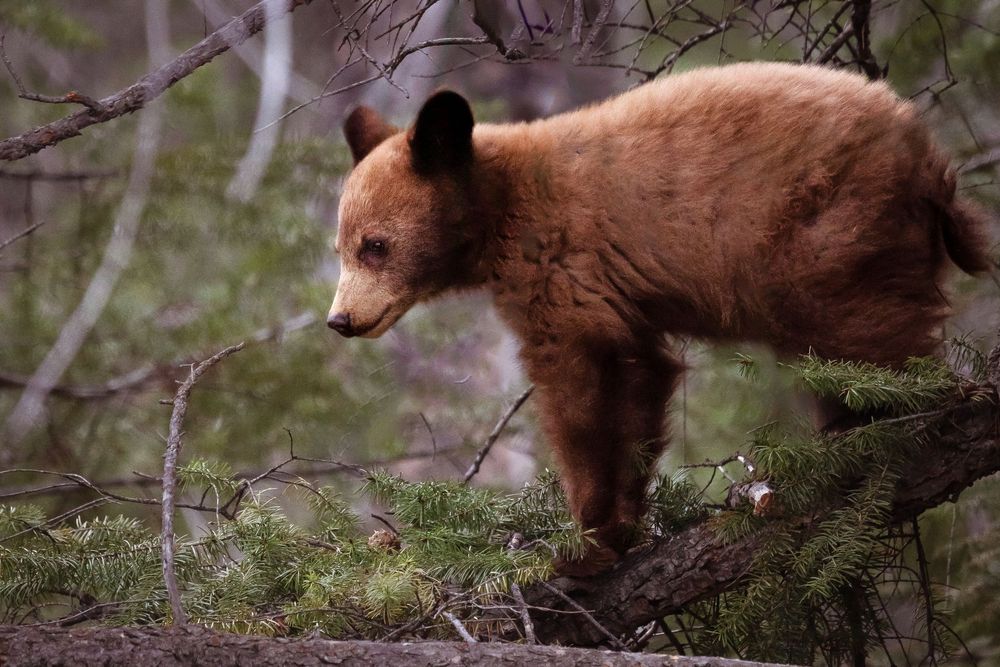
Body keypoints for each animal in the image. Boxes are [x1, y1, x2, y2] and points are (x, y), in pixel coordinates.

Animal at [327, 62, 990, 576]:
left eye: (375, 245)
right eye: (341, 247)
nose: (340, 320)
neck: (501, 205)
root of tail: (927, 152)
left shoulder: (560, 268)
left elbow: (580, 392)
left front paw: (581, 544)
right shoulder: (618, 296)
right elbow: (641, 378)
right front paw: (620, 529)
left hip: (832, 235)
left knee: (872, 335)